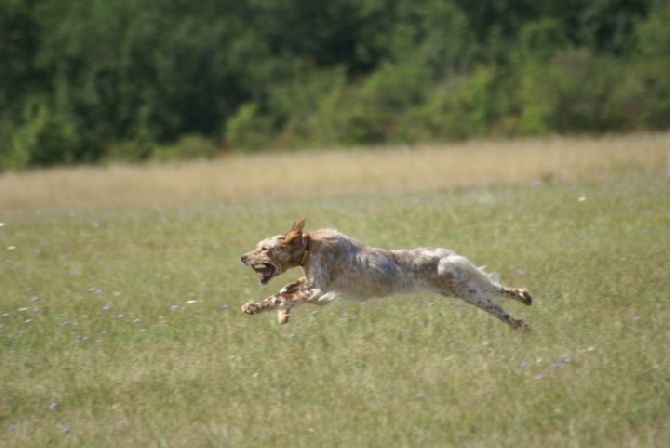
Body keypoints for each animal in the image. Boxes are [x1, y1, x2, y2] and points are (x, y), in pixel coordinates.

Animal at [242, 220, 536, 328]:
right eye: (257, 247)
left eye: (264, 249)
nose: (243, 257)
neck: (309, 246)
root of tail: (444, 254)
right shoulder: (312, 284)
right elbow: (285, 290)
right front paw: (279, 314)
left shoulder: (318, 289)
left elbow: (282, 296)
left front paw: (257, 307)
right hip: (459, 288)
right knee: (498, 290)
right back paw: (523, 302)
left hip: (462, 289)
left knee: (495, 304)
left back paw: (518, 320)